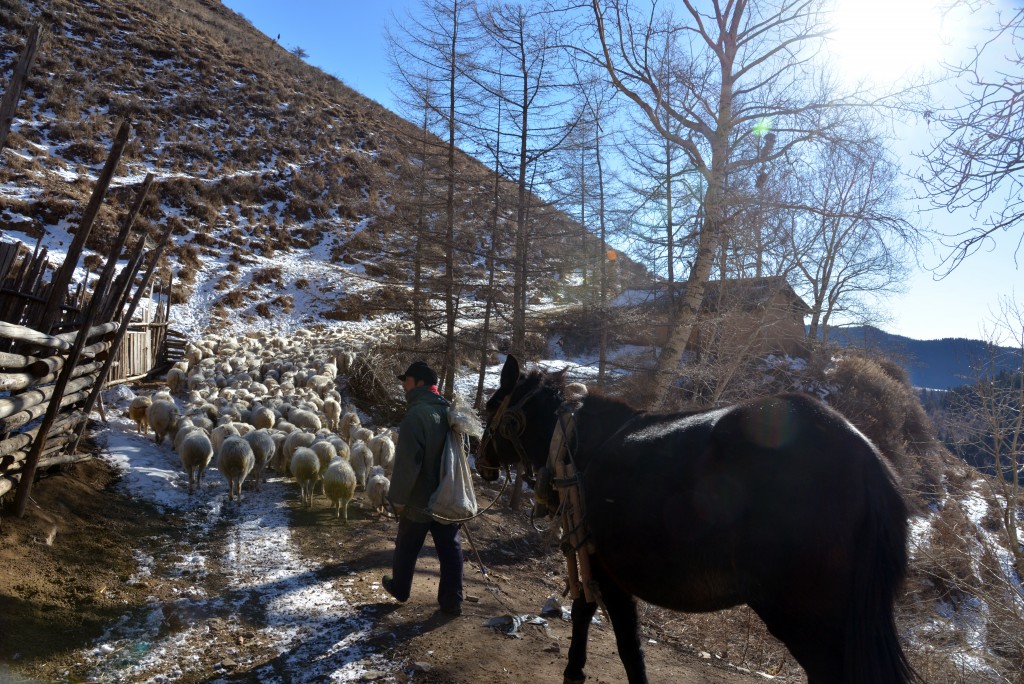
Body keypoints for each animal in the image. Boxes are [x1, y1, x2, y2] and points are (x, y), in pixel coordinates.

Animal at [479, 358, 921, 684]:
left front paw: (575, 670)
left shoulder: (606, 570)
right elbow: (595, 617)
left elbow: (623, 641)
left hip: (809, 621)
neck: (577, 442)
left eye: (490, 405)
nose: (479, 458)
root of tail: (866, 460)